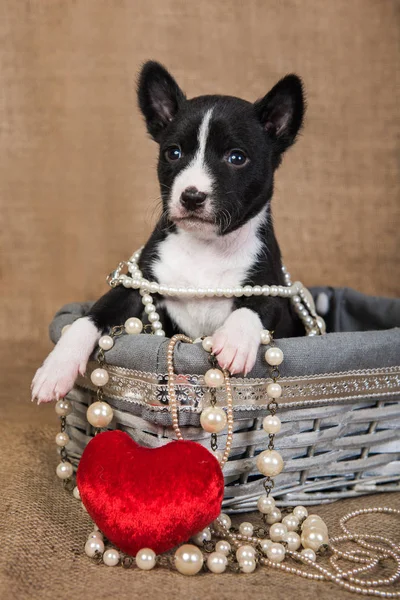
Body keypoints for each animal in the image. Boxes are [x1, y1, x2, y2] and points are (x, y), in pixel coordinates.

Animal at [32, 59, 304, 404]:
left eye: (237, 158)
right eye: (173, 153)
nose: (192, 196)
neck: (206, 247)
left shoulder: (273, 288)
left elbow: (257, 307)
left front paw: (235, 340)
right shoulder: (136, 288)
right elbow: (91, 316)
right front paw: (56, 367)